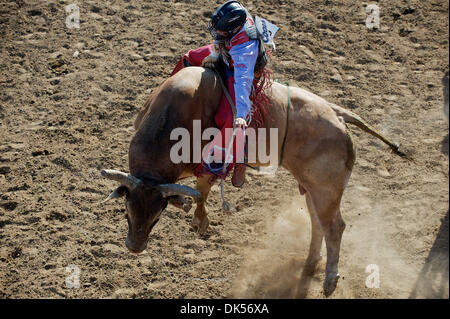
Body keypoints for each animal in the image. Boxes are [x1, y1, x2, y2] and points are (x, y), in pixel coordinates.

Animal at [102, 67, 404, 298]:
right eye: (126, 210)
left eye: (157, 216)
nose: (134, 247)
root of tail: (338, 114)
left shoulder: (210, 163)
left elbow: (202, 191)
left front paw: (201, 221)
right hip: (312, 188)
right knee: (318, 222)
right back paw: (309, 265)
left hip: (326, 189)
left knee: (334, 227)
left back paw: (330, 280)